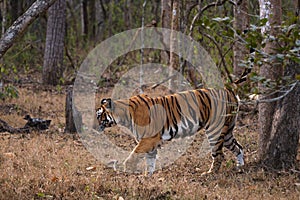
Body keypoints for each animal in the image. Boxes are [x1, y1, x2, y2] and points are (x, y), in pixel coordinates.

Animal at [96, 88, 244, 175]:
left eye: (99, 115)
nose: (93, 127)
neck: (124, 116)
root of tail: (230, 92)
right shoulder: (151, 142)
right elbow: (150, 161)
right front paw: (147, 177)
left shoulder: (149, 139)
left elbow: (134, 154)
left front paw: (127, 169)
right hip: (227, 132)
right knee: (239, 147)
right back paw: (240, 167)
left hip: (215, 131)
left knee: (219, 155)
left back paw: (209, 174)